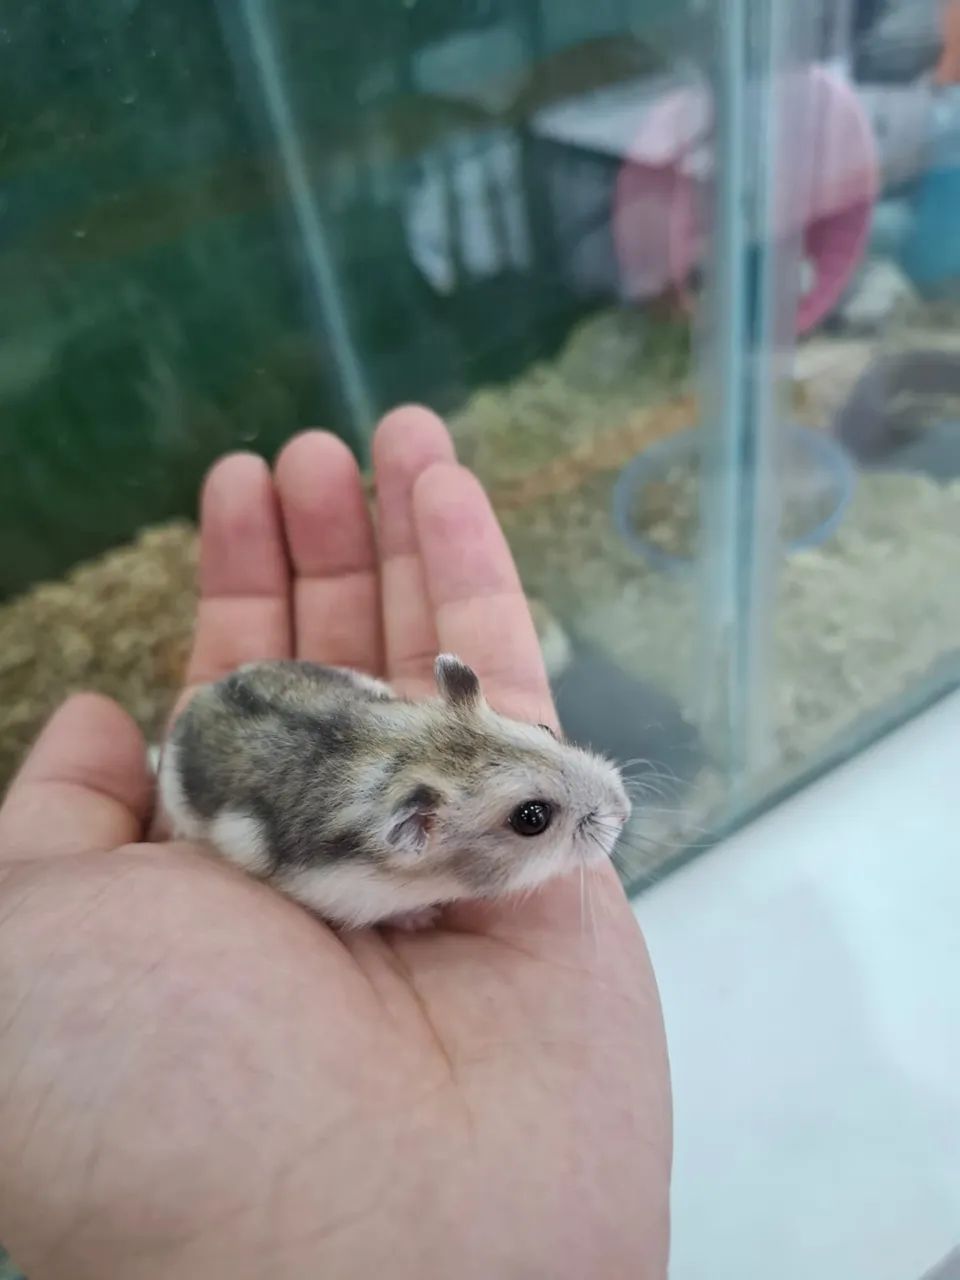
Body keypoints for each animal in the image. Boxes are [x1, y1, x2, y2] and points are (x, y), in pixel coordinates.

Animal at [157, 654, 631, 930]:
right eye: (532, 818)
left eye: (544, 728)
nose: (625, 811)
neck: (410, 757)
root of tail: (199, 699)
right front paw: (423, 918)